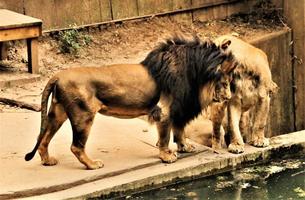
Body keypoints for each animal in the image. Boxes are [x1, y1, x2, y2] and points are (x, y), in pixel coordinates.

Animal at [25, 35, 235, 169]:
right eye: (225, 83)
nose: (229, 97)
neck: (196, 76)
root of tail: (57, 76)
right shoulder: (165, 111)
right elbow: (165, 136)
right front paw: (167, 156)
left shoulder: (179, 108)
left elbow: (179, 130)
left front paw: (185, 147)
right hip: (83, 115)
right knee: (76, 146)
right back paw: (93, 165)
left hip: (58, 113)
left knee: (43, 138)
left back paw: (48, 161)